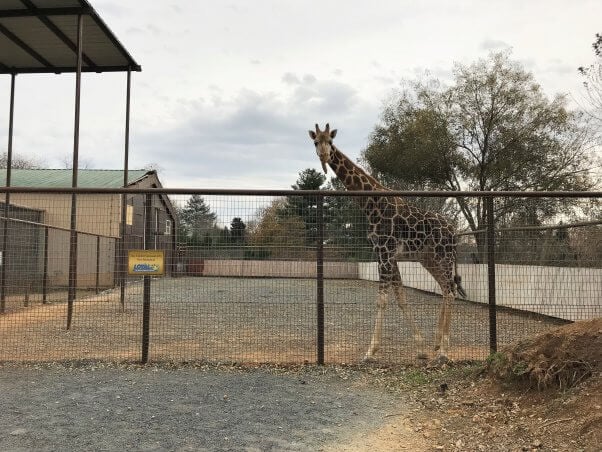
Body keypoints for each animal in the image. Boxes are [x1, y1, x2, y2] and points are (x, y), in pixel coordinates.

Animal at [308, 122, 466, 362]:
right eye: (316, 142)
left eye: (331, 141)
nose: (325, 156)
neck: (371, 204)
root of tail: (454, 231)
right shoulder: (387, 254)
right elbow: (400, 297)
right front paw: (420, 347)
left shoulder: (384, 250)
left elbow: (382, 299)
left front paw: (370, 351)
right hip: (428, 257)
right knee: (445, 288)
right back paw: (436, 343)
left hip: (444, 254)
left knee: (450, 291)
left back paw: (444, 350)